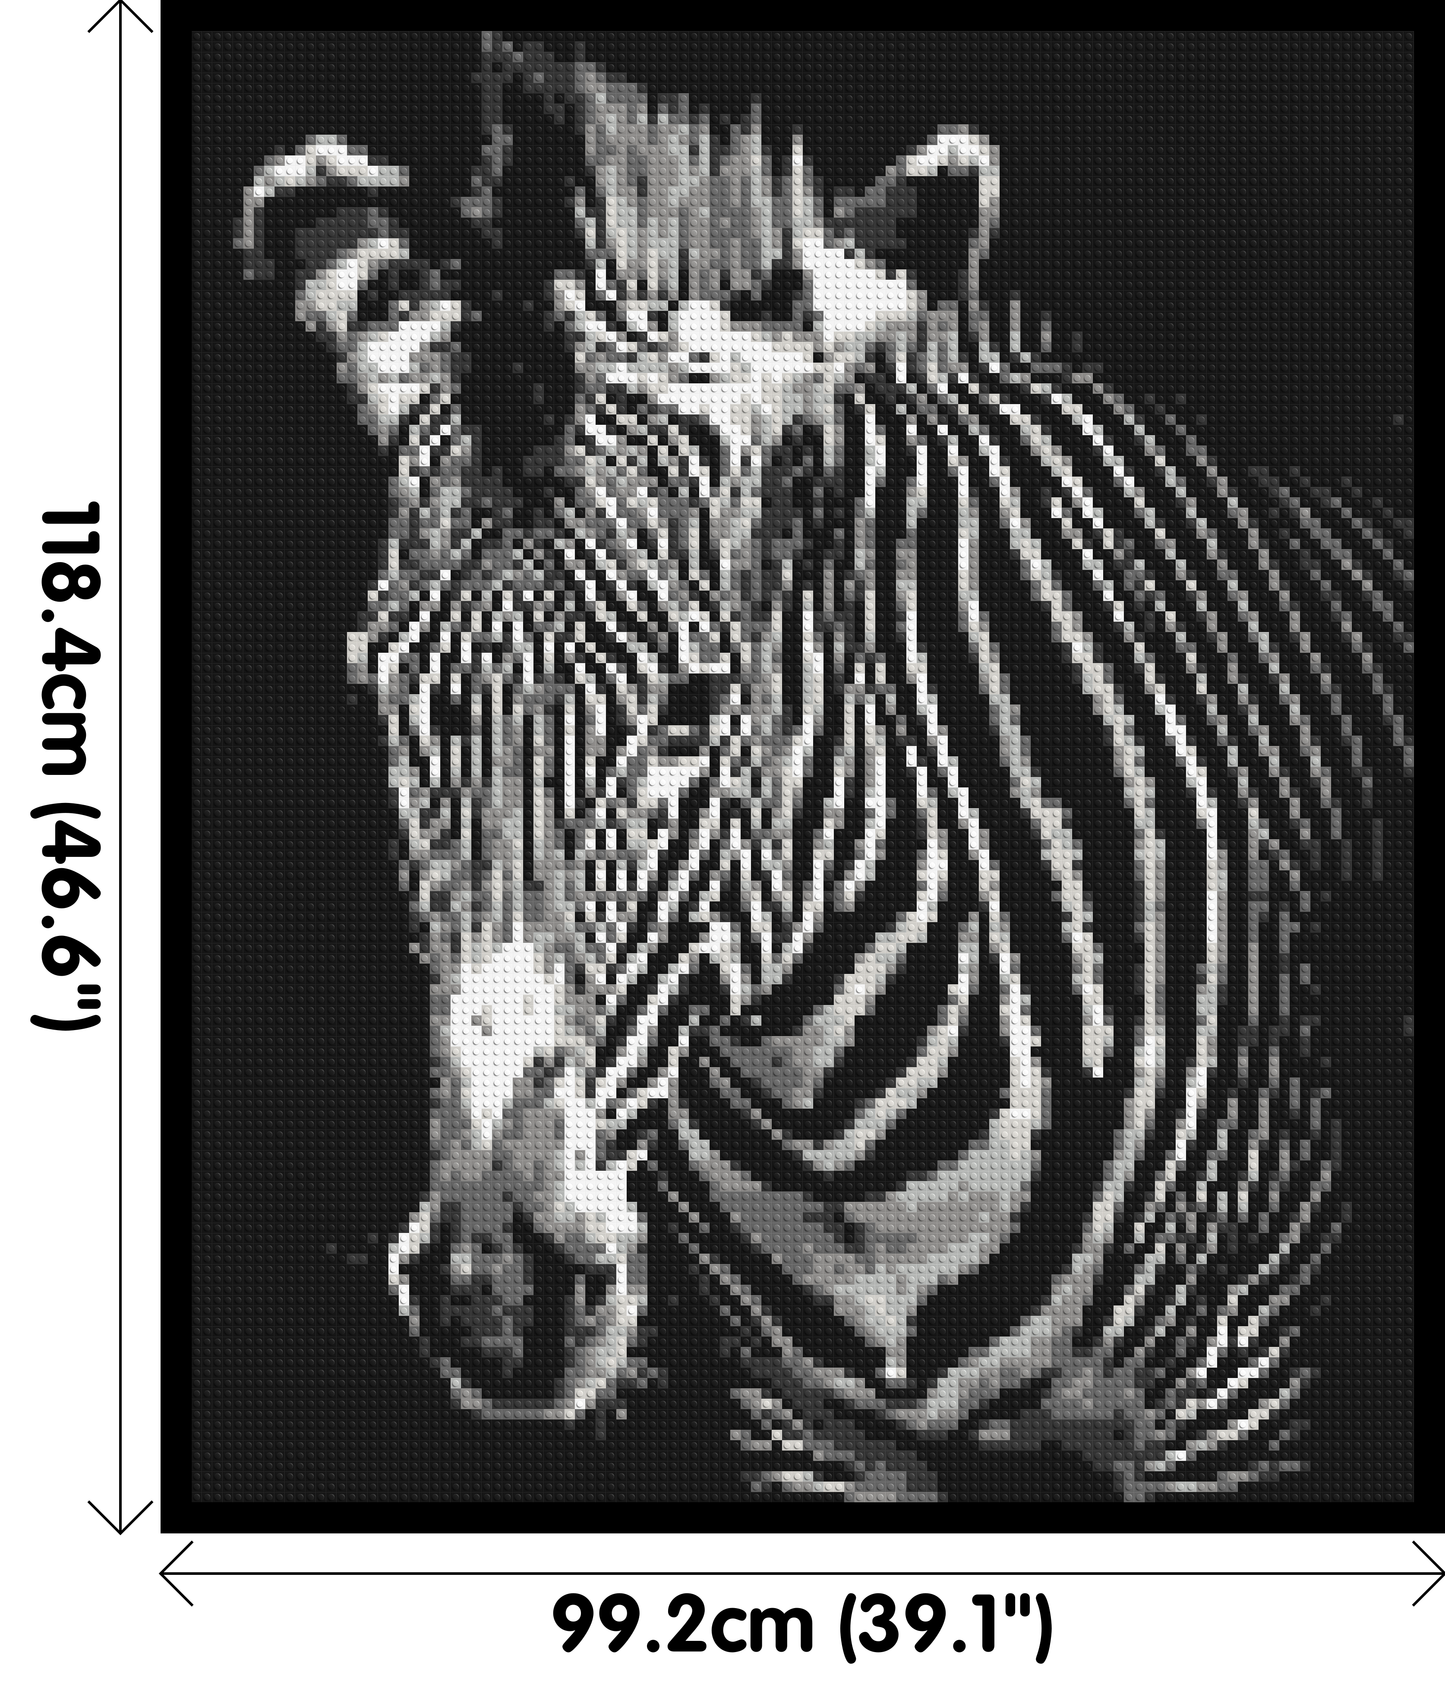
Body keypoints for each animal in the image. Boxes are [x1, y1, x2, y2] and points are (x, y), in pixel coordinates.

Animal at [238, 35, 1412, 1500]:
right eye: (379, 688)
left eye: (694, 703)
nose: (497, 1301)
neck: (838, 1133)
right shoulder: (804, 1425)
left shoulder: (1235, 1397)